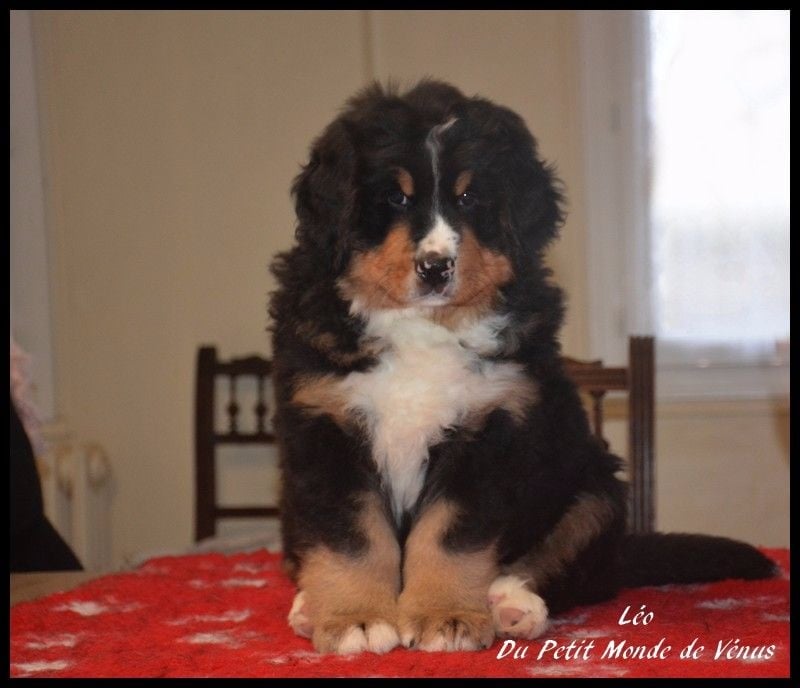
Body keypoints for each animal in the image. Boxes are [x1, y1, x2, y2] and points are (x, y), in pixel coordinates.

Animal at [268, 80, 775, 655]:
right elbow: (351, 536)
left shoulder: (493, 428)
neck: (425, 327)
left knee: (570, 566)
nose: (436, 267)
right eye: (395, 197)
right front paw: (355, 618)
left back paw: (511, 604)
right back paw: (310, 605)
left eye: (469, 197)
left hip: (595, 490)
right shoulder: (325, 425)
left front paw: (445, 615)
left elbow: (448, 534)